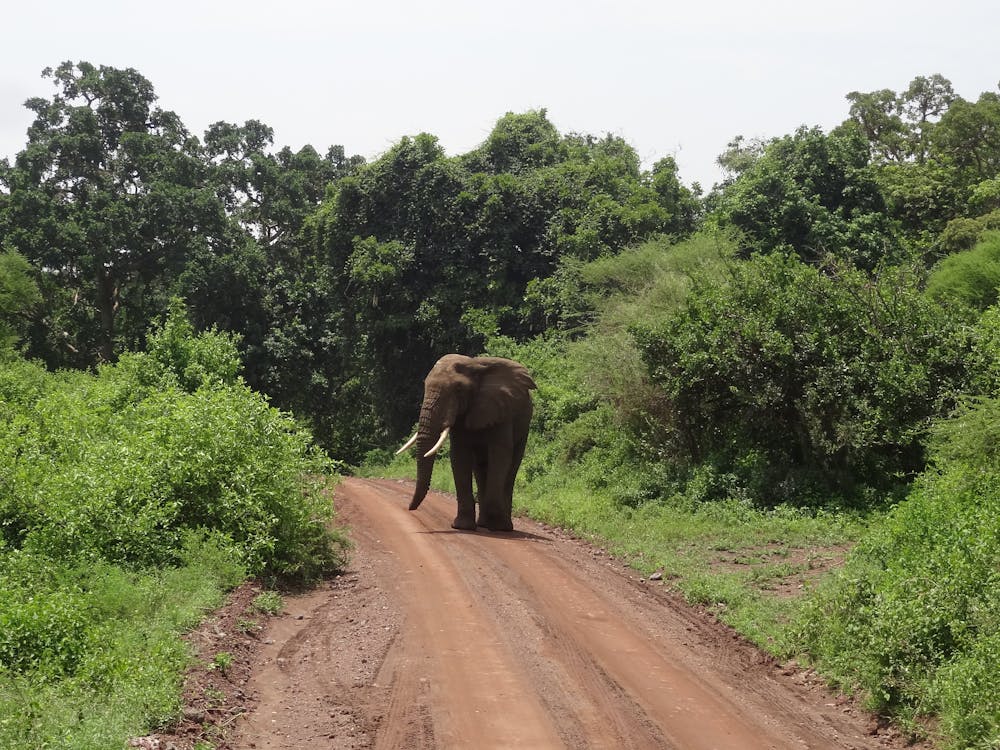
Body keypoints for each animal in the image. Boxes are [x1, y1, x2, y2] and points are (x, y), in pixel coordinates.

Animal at [398, 356, 540, 532]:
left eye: (459, 389)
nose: (409, 508)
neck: (474, 364)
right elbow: (460, 456)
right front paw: (463, 527)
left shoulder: (501, 410)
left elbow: (500, 456)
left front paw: (496, 526)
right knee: (480, 468)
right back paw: (484, 523)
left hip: (524, 426)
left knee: (511, 467)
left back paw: (503, 527)